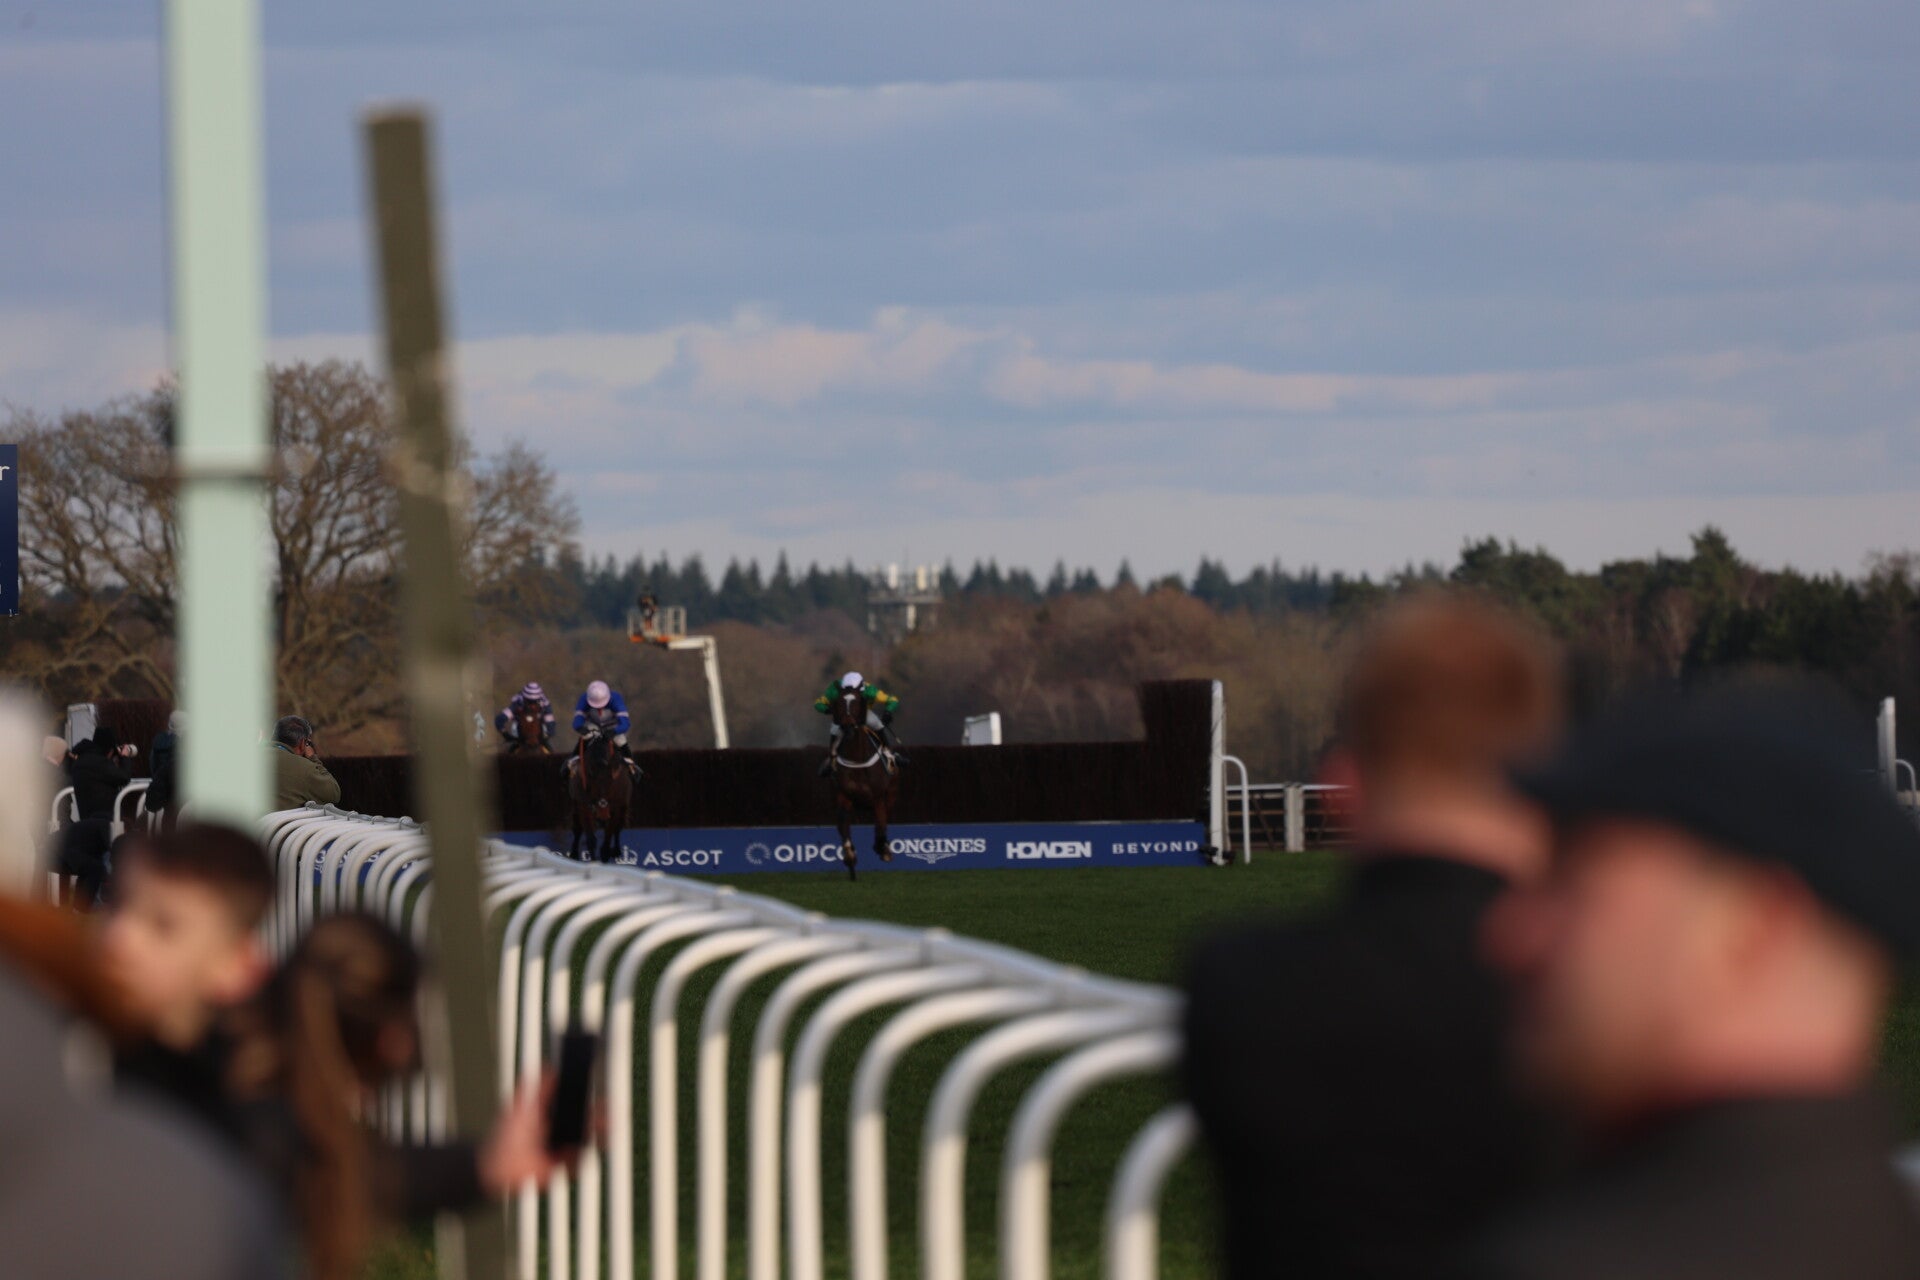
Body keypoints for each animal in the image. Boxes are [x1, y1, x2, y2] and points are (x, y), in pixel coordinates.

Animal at [568, 728, 631, 864]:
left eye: (612, 780)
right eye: (592, 779)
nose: (602, 804)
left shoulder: (616, 807)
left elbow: (609, 837)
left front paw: (606, 856)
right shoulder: (584, 805)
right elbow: (590, 839)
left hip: (623, 806)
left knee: (618, 828)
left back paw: (616, 852)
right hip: (576, 806)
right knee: (577, 828)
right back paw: (574, 854)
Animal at [826, 686, 899, 880]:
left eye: (858, 702)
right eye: (839, 702)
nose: (848, 726)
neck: (857, 759)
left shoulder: (878, 797)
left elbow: (881, 824)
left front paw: (883, 849)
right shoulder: (843, 797)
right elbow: (843, 827)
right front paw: (849, 856)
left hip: (890, 794)